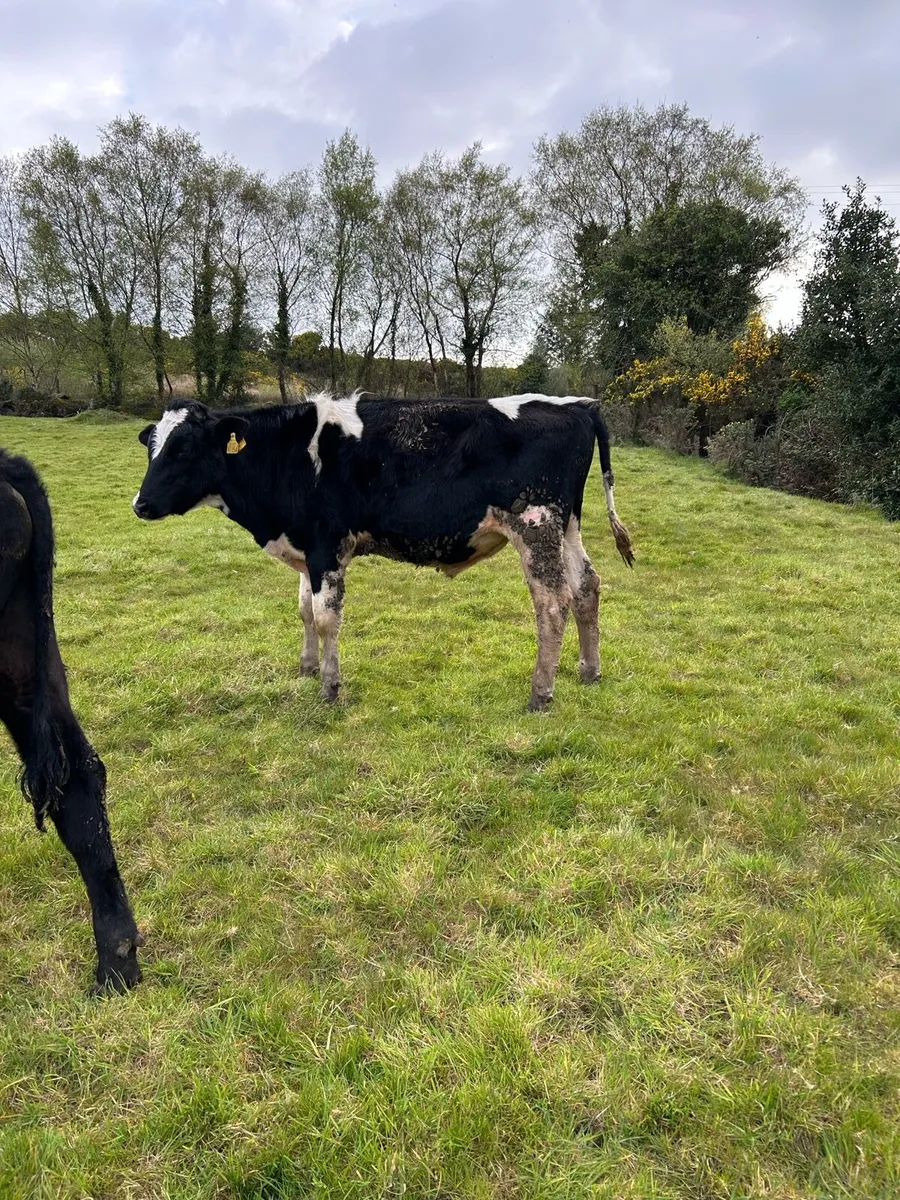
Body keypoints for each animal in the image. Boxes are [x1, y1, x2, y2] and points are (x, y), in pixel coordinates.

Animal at [132, 393, 634, 711]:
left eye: (183, 449)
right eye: (153, 447)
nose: (140, 504)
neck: (289, 456)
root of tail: (578, 406)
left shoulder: (327, 545)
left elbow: (325, 617)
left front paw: (330, 689)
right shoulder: (307, 548)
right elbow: (303, 609)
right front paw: (307, 668)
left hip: (536, 524)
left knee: (552, 605)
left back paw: (540, 694)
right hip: (567, 525)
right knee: (587, 587)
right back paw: (589, 671)